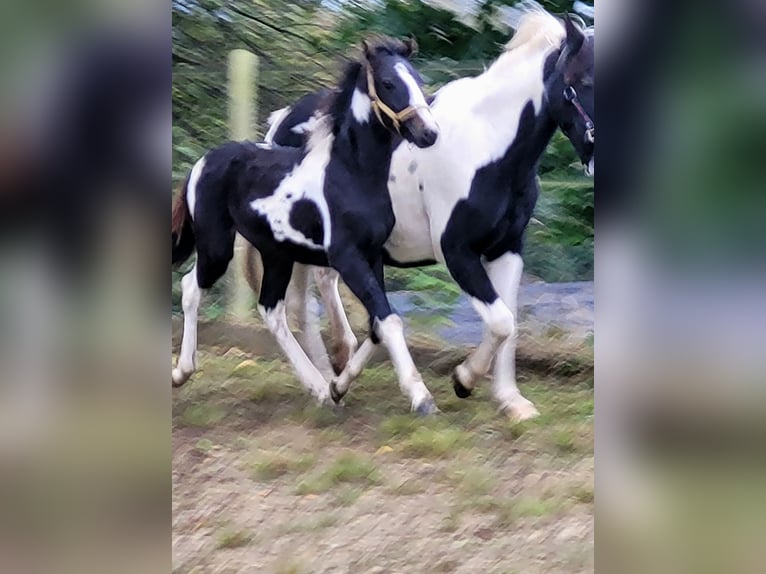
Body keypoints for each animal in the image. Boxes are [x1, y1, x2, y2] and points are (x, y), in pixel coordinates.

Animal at [170, 37, 440, 414]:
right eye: (388, 83)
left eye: (417, 78)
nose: (428, 133)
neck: (351, 174)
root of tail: (203, 161)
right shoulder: (347, 258)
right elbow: (388, 319)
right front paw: (421, 397)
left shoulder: (372, 256)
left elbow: (377, 324)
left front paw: (339, 385)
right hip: (216, 247)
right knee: (192, 288)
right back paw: (181, 371)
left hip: (276, 254)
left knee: (271, 309)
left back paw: (320, 388)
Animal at [244, 5, 592, 424]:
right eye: (582, 81)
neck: (489, 145)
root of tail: (280, 123)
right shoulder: (456, 252)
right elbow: (500, 321)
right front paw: (461, 380)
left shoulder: (507, 248)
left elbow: (508, 324)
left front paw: (512, 401)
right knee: (292, 308)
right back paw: (326, 381)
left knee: (317, 296)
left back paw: (335, 371)